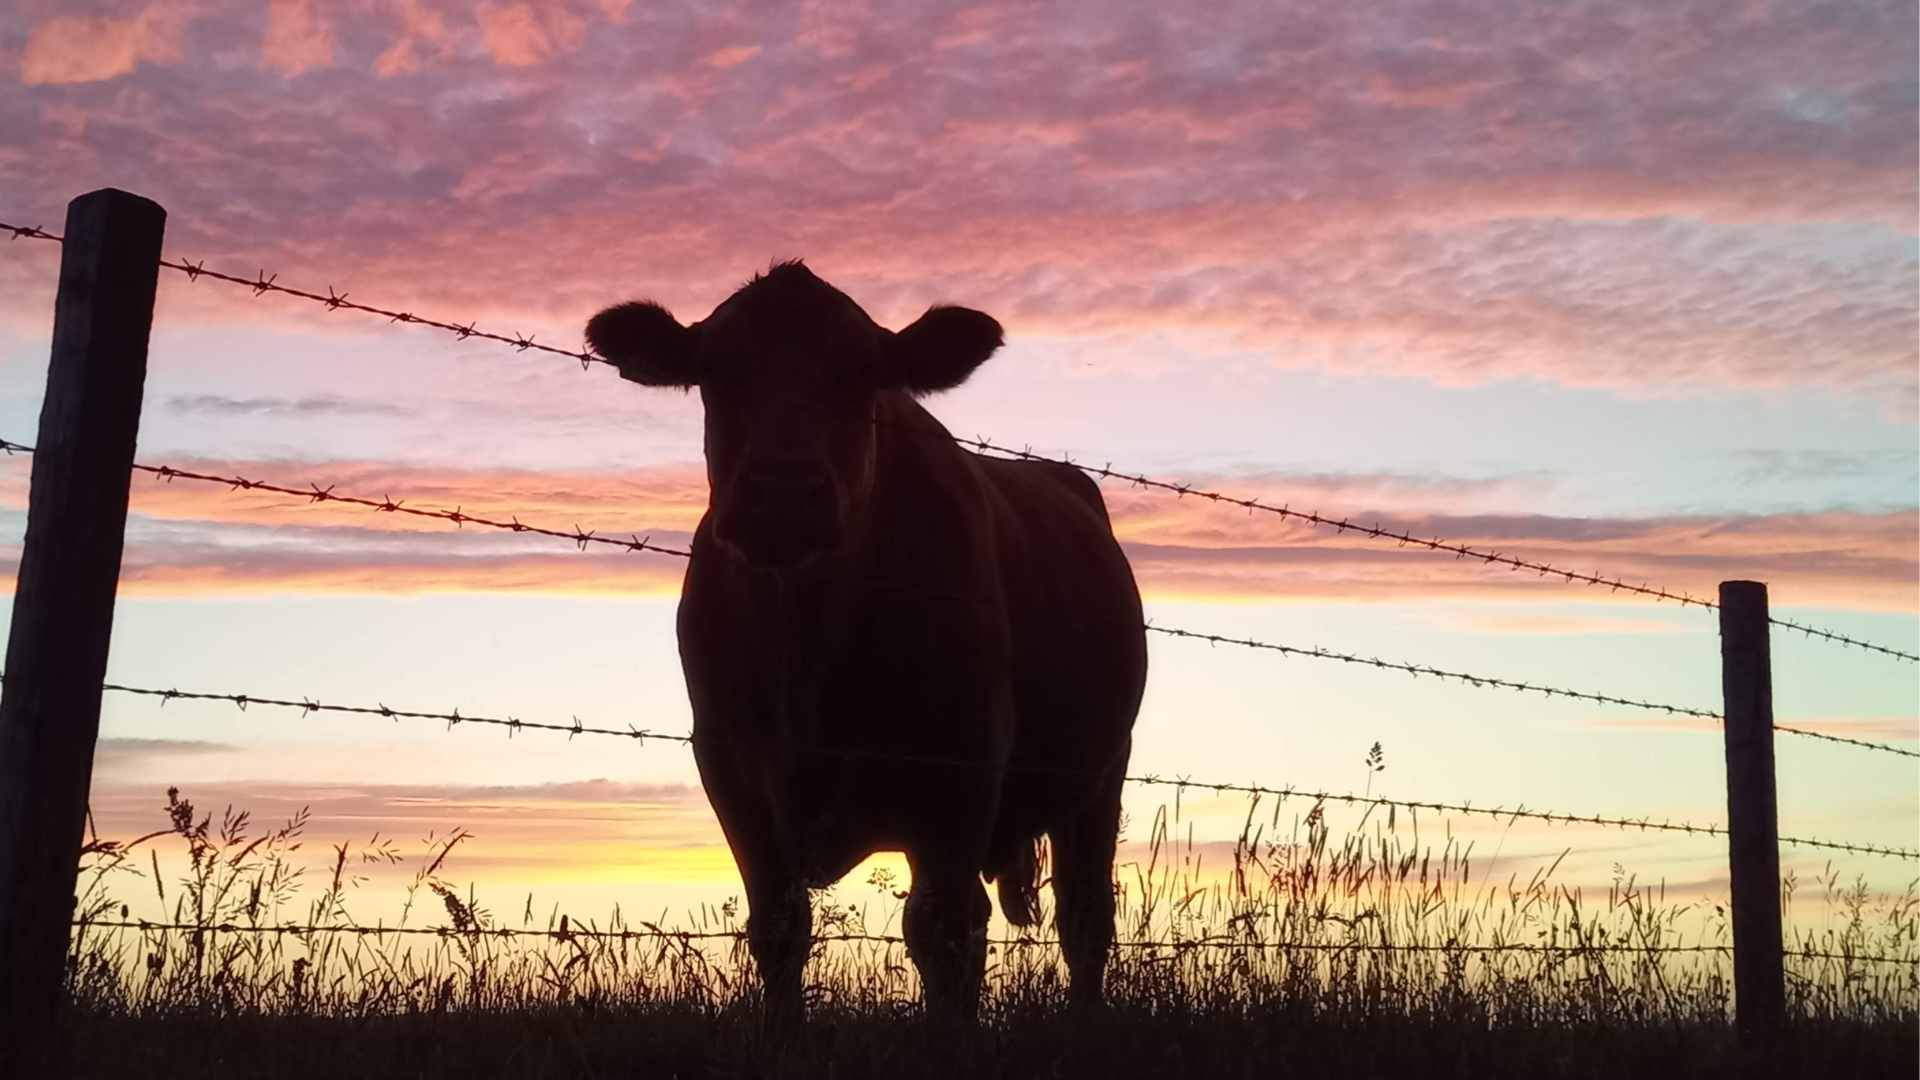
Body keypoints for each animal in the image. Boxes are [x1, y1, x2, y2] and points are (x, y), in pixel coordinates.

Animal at [586, 262, 1147, 1019]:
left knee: (1085, 921)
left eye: (863, 375)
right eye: (715, 372)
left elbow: (944, 934)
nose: (781, 494)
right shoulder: (731, 769)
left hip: (1099, 776)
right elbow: (779, 929)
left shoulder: (961, 772)